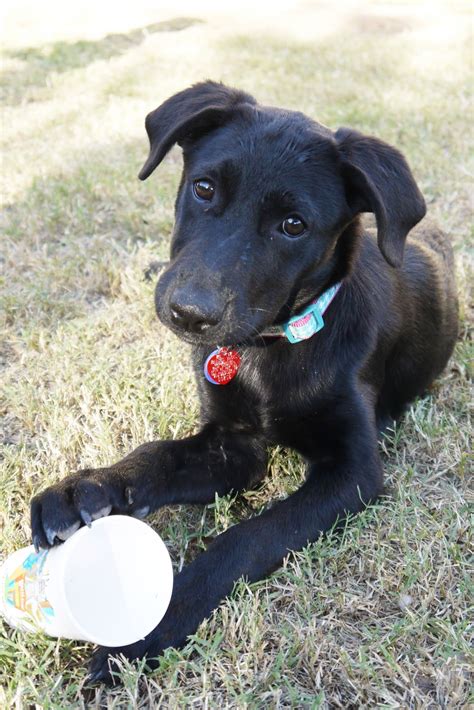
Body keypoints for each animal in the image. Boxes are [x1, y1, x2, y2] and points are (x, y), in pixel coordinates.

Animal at [30, 82, 460, 684]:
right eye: (204, 188)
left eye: (294, 225)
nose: (189, 314)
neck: (268, 347)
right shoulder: (231, 442)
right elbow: (157, 455)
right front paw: (88, 486)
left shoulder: (352, 473)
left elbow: (248, 537)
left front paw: (159, 618)